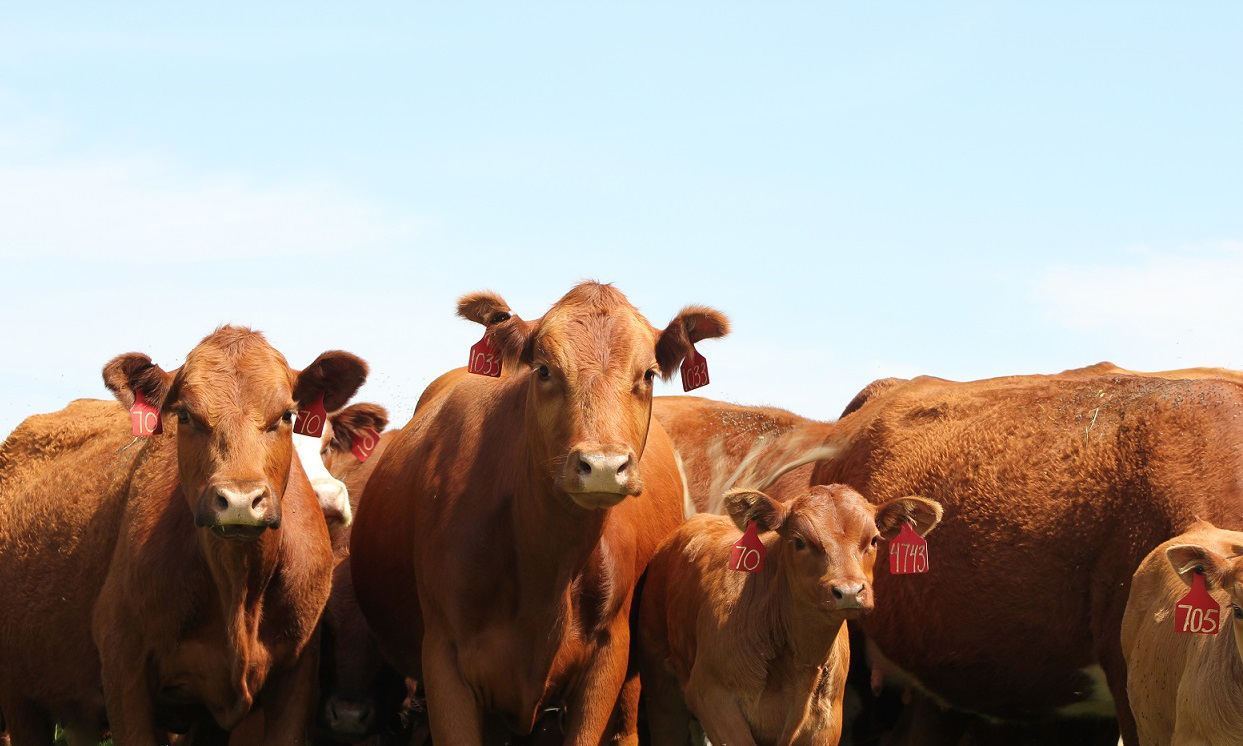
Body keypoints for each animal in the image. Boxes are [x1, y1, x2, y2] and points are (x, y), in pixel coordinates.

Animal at [350, 282, 725, 741]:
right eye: (544, 370)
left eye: (649, 375)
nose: (603, 466)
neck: (544, 572)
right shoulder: (444, 658)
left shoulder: (608, 656)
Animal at [641, 484, 939, 746]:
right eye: (799, 541)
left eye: (874, 540)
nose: (849, 591)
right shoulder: (712, 697)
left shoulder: (827, 723)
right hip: (662, 685)